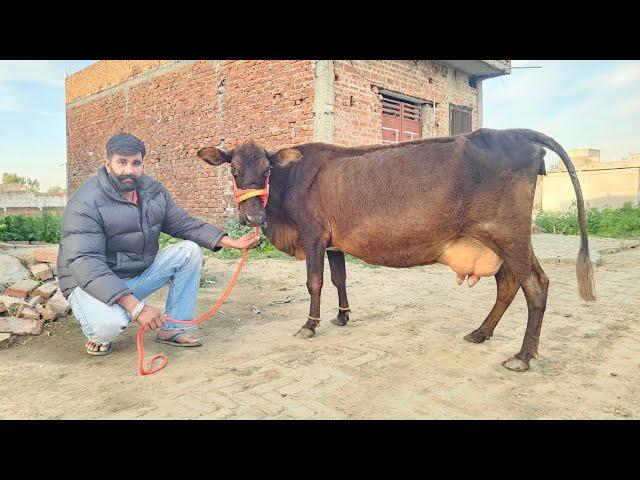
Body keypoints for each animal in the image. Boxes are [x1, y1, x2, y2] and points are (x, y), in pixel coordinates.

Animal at [198, 129, 596, 374]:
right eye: (234, 171)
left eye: (266, 170)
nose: (252, 217)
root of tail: (514, 133)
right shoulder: (334, 240)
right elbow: (340, 278)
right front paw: (342, 316)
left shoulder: (312, 235)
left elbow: (315, 282)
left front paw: (309, 325)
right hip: (503, 240)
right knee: (510, 284)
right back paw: (480, 332)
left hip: (508, 233)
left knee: (535, 286)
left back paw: (523, 356)